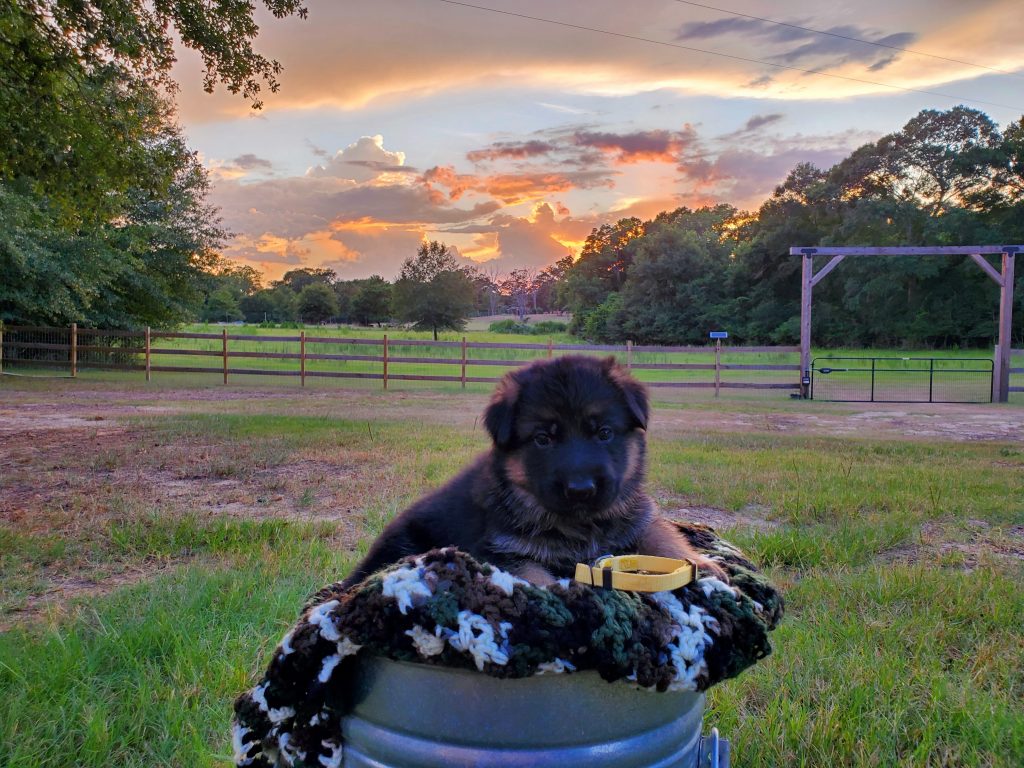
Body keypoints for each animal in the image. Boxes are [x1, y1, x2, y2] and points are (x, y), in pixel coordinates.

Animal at [339, 356, 724, 589]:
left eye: (604, 433)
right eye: (543, 439)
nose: (581, 489)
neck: (580, 526)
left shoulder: (637, 519)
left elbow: (663, 536)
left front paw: (699, 562)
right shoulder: (502, 553)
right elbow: (537, 576)